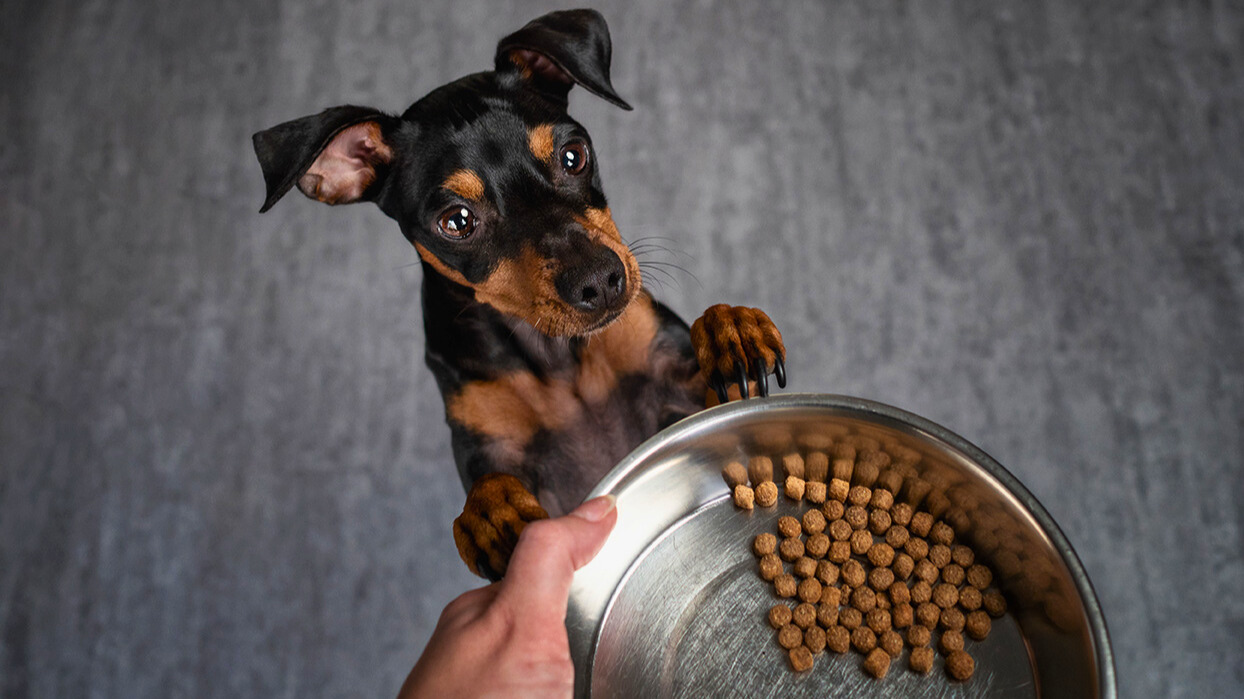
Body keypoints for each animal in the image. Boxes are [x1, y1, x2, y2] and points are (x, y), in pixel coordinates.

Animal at [250, 8, 786, 579]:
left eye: (574, 156)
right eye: (457, 222)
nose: (601, 282)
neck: (556, 357)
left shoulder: (685, 395)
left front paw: (732, 327)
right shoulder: (491, 446)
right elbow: (488, 485)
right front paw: (491, 512)